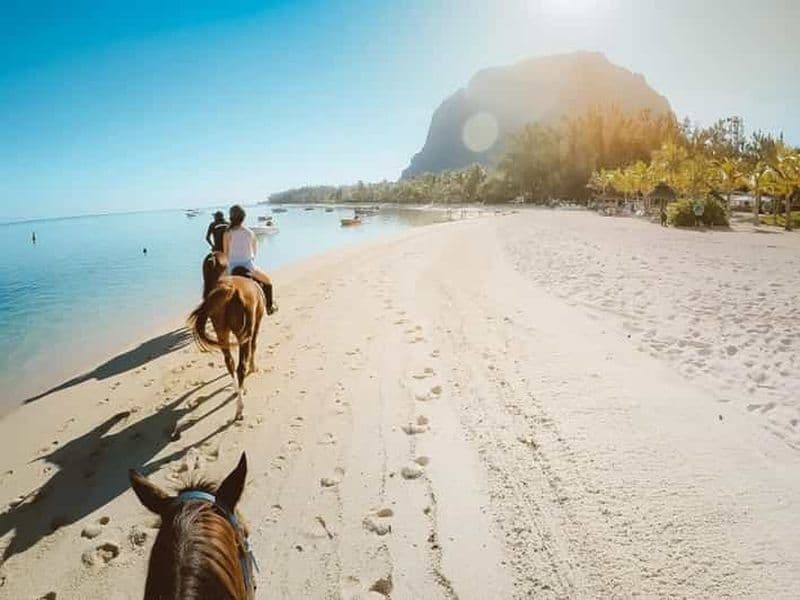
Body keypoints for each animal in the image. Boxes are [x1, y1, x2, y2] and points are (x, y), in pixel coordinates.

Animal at [189, 255, 265, 421]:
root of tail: (232, 290)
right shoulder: (256, 324)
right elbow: (254, 346)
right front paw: (253, 367)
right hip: (243, 333)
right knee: (240, 367)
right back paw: (240, 409)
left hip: (221, 332)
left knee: (229, 362)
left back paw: (237, 391)